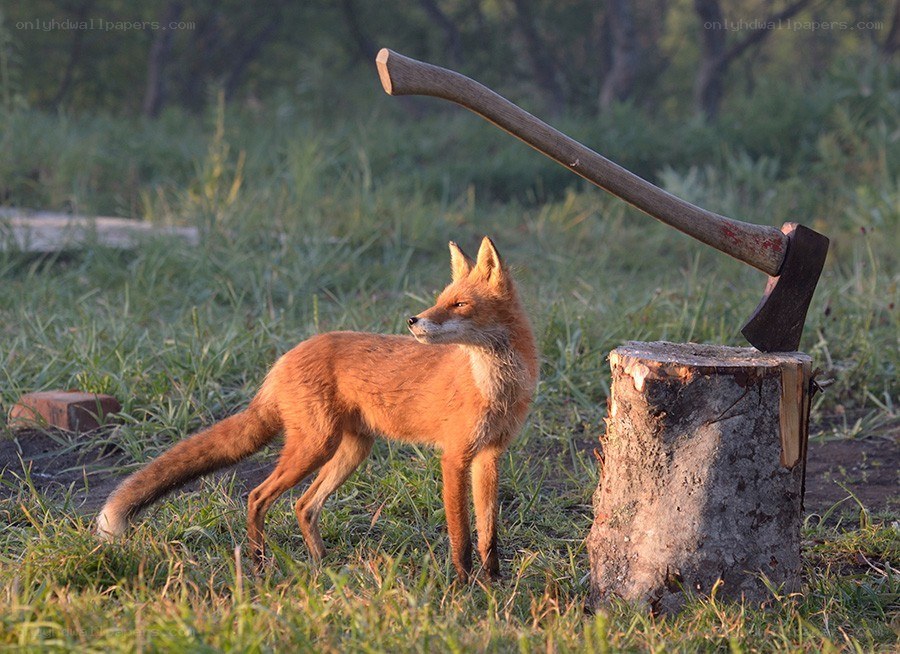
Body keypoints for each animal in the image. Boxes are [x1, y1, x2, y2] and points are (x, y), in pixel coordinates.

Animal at [96, 237, 539, 581]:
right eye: (440, 301)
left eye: (459, 304)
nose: (413, 321)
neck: (495, 386)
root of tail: (284, 359)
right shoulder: (453, 457)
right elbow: (460, 535)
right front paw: (463, 586)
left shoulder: (489, 456)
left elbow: (489, 534)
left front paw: (494, 583)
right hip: (315, 446)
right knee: (257, 496)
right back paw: (259, 565)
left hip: (351, 450)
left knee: (303, 505)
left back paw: (322, 566)